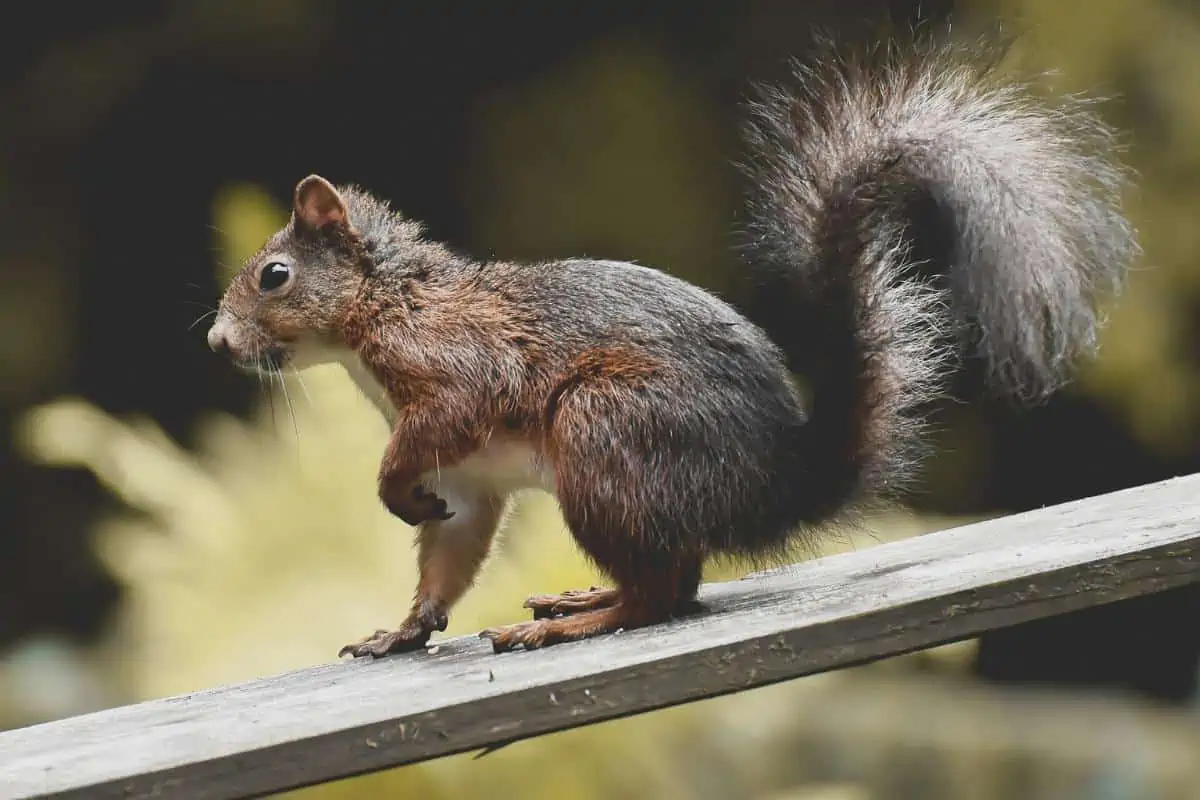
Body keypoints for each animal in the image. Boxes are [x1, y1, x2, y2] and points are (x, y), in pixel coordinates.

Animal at [206, 34, 1138, 658]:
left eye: (274, 276)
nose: (218, 340)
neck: (385, 306)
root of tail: (774, 488)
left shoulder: (456, 367)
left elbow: (443, 423)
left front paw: (392, 491)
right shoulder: (466, 483)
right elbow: (448, 557)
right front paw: (401, 633)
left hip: (606, 431)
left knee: (663, 597)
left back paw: (579, 621)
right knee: (672, 581)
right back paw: (579, 599)